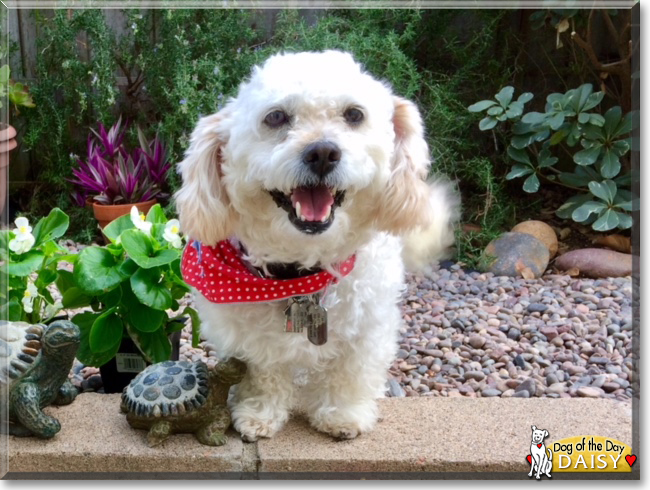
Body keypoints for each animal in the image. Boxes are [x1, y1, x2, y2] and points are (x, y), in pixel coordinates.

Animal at [175, 51, 454, 442]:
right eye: (276, 116)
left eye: (354, 114)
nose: (322, 152)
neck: (301, 276)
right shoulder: (250, 340)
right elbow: (263, 374)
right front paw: (259, 414)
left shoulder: (368, 327)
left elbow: (350, 372)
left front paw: (344, 415)